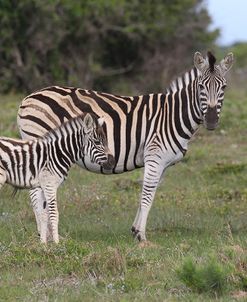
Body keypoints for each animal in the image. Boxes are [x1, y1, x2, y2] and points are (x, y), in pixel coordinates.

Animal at [0, 113, 114, 243]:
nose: (112, 162)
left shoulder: (42, 186)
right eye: (97, 142)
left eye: (105, 141)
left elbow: (43, 214)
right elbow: (54, 213)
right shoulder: (50, 185)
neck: (58, 154)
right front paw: (56, 243)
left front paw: (43, 244)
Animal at [17, 50, 233, 242]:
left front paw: (135, 230)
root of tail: (28, 97)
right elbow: (147, 194)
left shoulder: (162, 163)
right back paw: (44, 235)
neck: (173, 115)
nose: (211, 121)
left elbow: (149, 192)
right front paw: (142, 236)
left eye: (223, 87)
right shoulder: (155, 156)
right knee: (36, 193)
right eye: (201, 87)